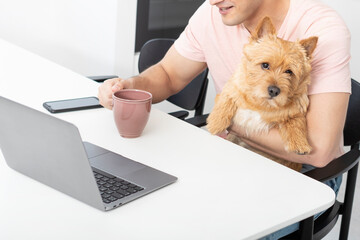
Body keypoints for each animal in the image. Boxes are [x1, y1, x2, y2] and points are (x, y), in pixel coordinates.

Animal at [205, 16, 318, 171]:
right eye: (265, 65)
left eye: (289, 72)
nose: (274, 90)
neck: (261, 103)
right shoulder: (230, 89)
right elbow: (226, 100)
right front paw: (215, 123)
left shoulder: (295, 112)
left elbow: (296, 123)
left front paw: (300, 144)